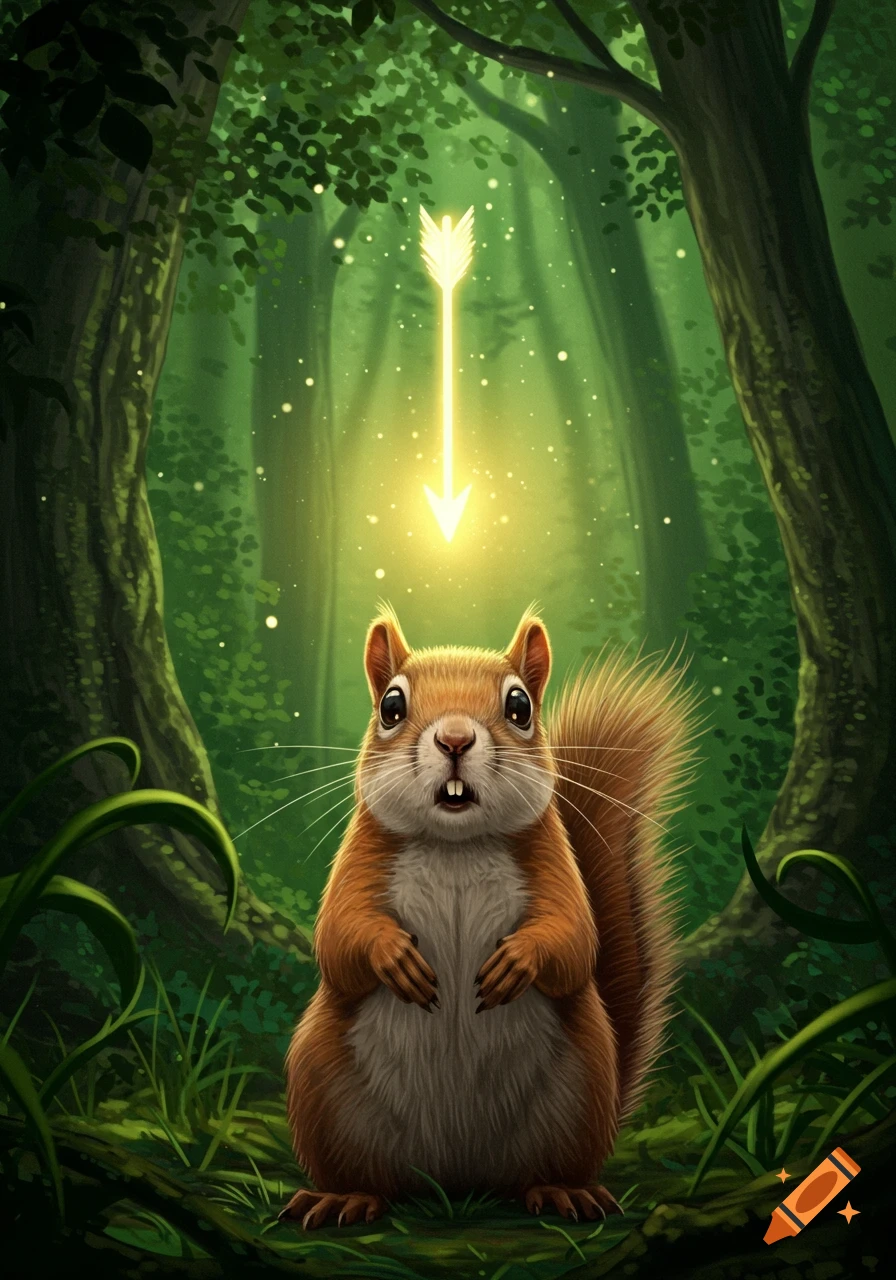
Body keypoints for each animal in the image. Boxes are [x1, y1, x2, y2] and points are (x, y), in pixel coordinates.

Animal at [280, 606, 696, 1230]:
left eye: (520, 706)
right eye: (391, 706)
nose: (454, 738)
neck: (457, 844)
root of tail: (456, 1177)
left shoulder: (554, 869)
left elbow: (574, 940)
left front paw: (517, 963)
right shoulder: (359, 864)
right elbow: (339, 938)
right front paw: (394, 958)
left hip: (579, 1097)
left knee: (543, 1170)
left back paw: (564, 1191)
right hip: (321, 1091)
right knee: (364, 1173)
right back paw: (344, 1197)